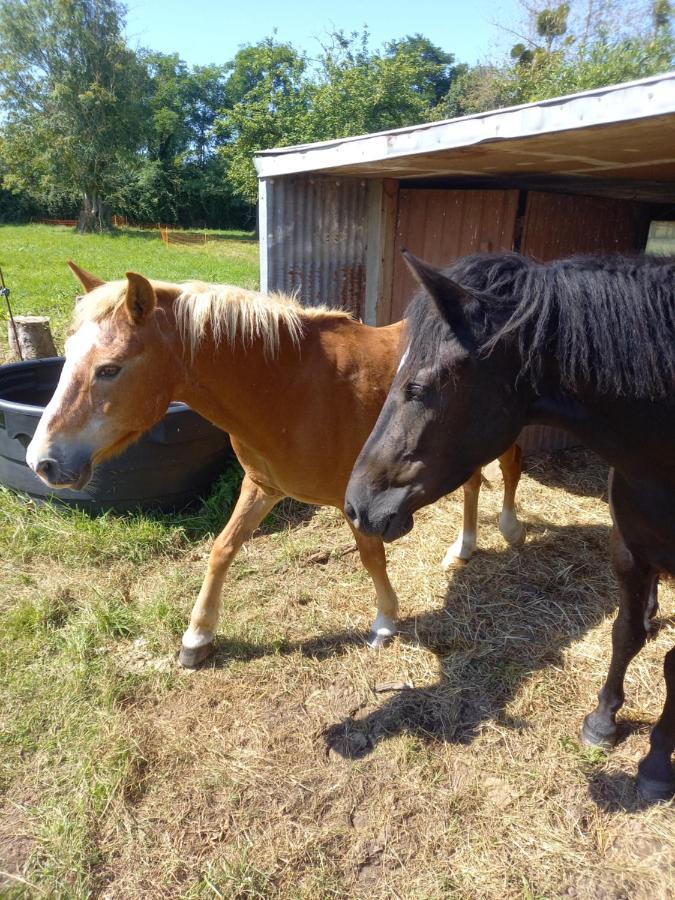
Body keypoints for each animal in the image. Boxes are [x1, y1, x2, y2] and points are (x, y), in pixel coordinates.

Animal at [26, 262, 524, 668]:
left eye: (110, 368)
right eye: (69, 355)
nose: (41, 461)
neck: (291, 388)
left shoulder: (363, 503)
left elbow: (371, 557)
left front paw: (384, 621)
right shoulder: (262, 487)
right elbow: (222, 550)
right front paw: (197, 636)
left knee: (510, 471)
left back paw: (510, 529)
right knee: (474, 482)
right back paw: (463, 548)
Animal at [346, 250, 675, 800]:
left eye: (419, 386)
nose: (355, 505)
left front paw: (655, 765)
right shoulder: (629, 547)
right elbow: (625, 633)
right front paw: (603, 721)